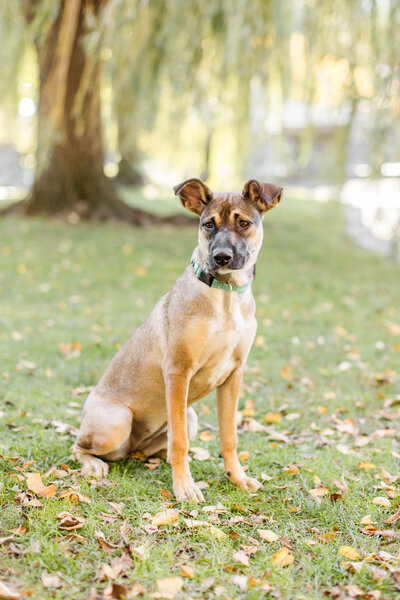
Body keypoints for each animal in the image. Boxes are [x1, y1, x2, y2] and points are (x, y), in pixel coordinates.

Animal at [73, 178, 282, 502]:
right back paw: (95, 464)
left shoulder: (234, 374)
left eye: (244, 223)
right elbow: (180, 440)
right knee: (79, 446)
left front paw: (237, 477)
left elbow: (229, 437)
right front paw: (184, 486)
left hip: (190, 415)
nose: (221, 257)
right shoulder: (178, 371)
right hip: (116, 421)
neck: (224, 295)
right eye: (208, 224)